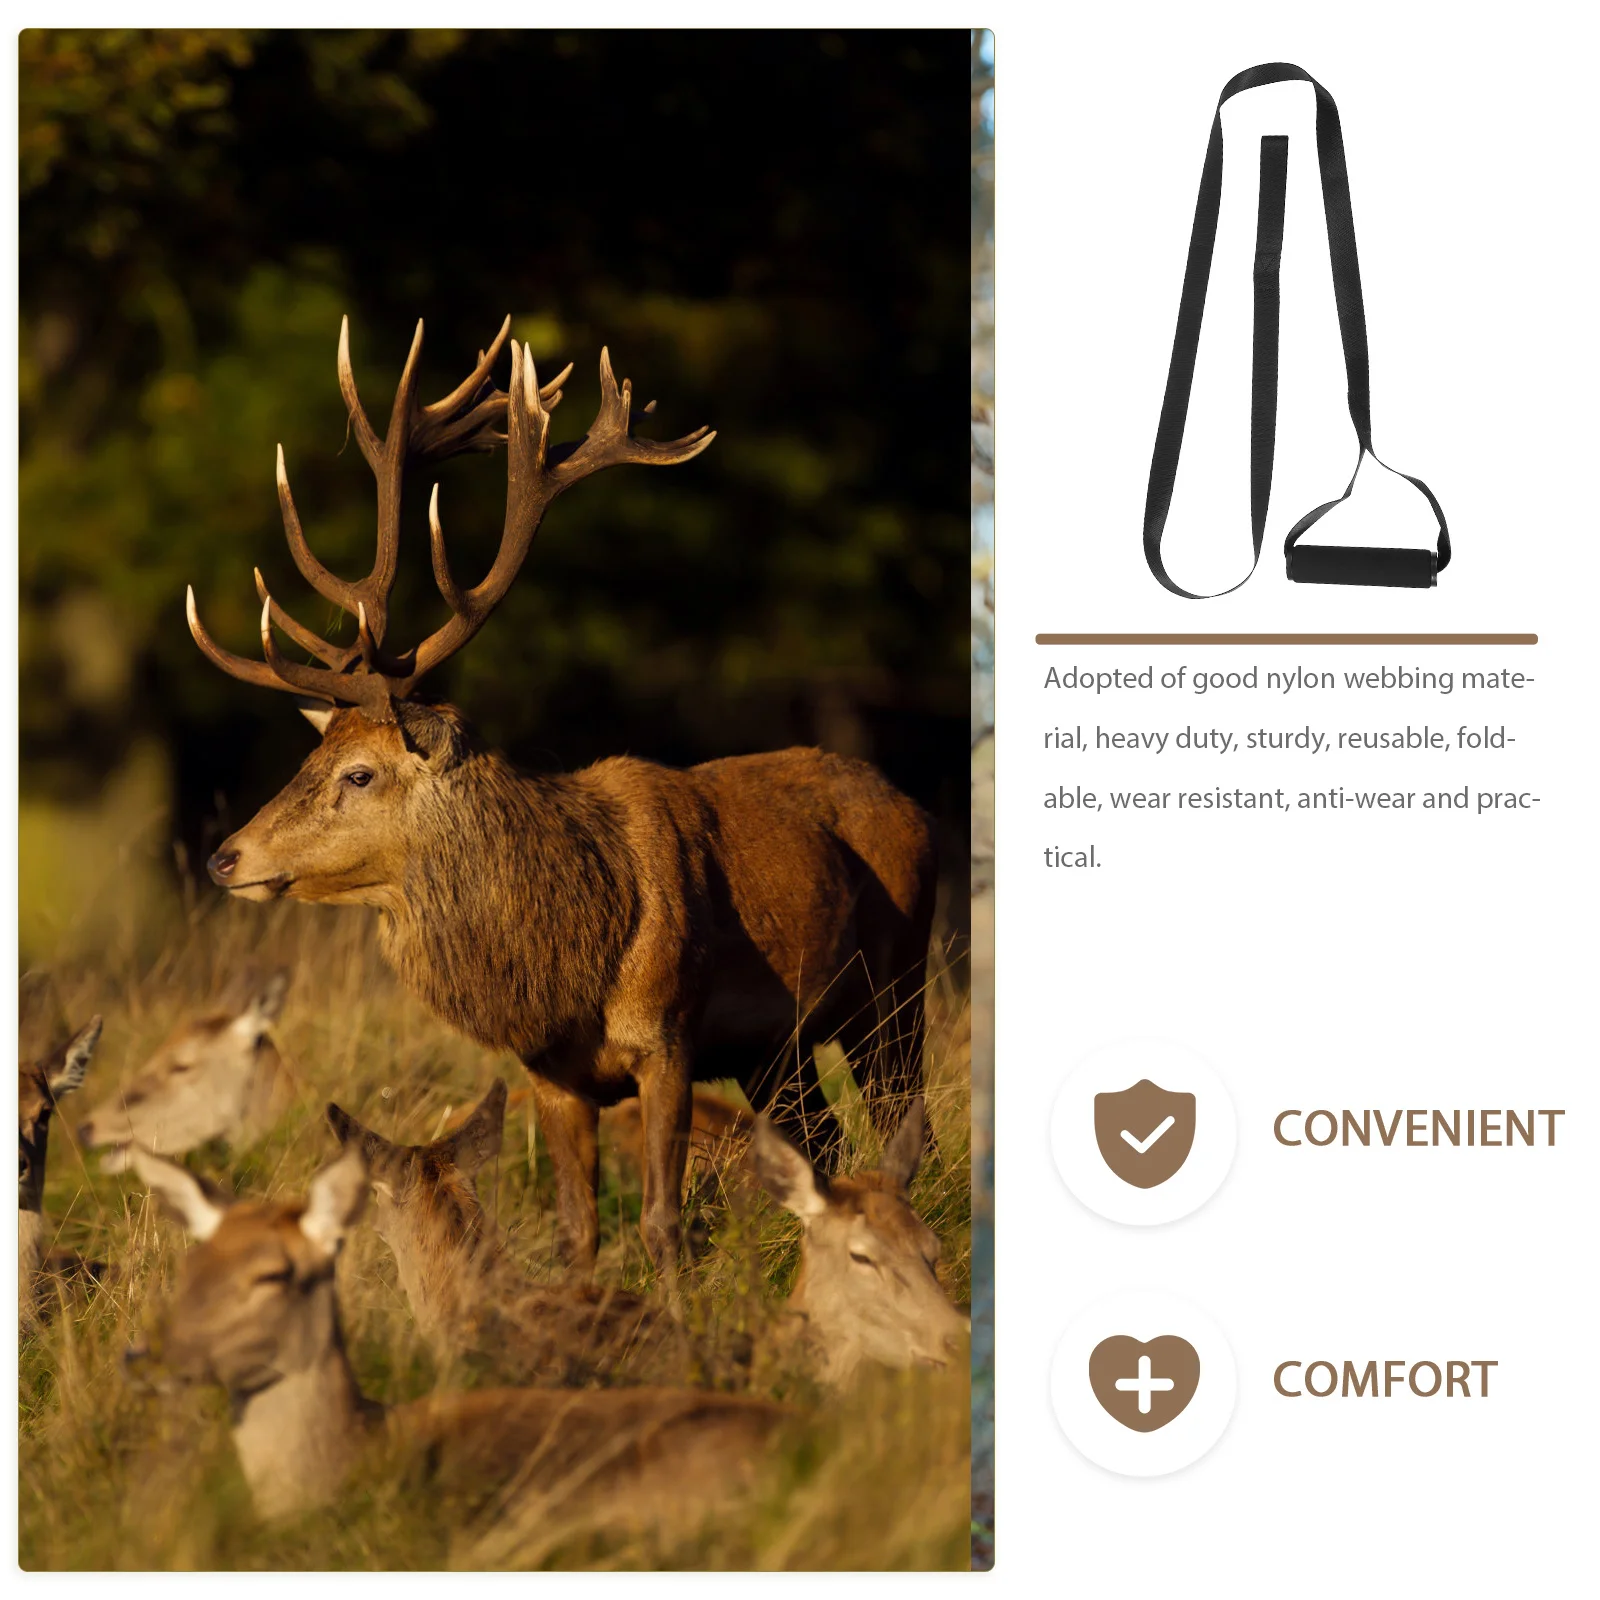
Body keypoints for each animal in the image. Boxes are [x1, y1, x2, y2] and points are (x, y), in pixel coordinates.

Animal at [186, 314, 937, 1283]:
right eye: (313, 752)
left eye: (358, 773)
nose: (224, 856)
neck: (568, 957)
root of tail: (912, 806)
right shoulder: (550, 1073)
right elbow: (578, 1233)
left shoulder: (668, 1037)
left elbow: (659, 1221)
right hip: (782, 1047)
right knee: (827, 1141)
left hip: (901, 984)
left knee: (905, 1126)